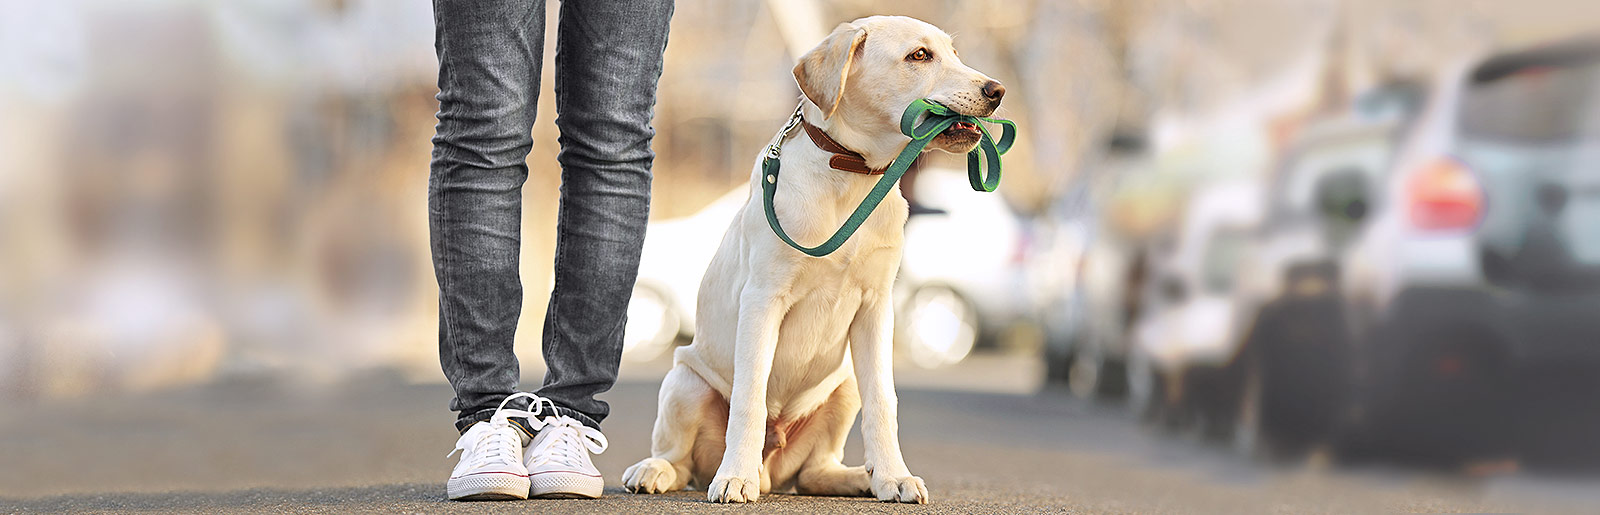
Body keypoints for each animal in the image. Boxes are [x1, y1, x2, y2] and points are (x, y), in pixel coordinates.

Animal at [620, 16, 998, 502]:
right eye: (919, 55)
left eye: (953, 53)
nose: (997, 90)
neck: (852, 177)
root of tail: (771, 470)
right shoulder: (762, 299)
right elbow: (750, 395)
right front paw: (734, 477)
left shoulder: (877, 308)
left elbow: (884, 400)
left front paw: (893, 476)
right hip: (684, 382)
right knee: (681, 461)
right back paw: (659, 471)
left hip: (843, 385)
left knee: (815, 471)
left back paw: (860, 477)